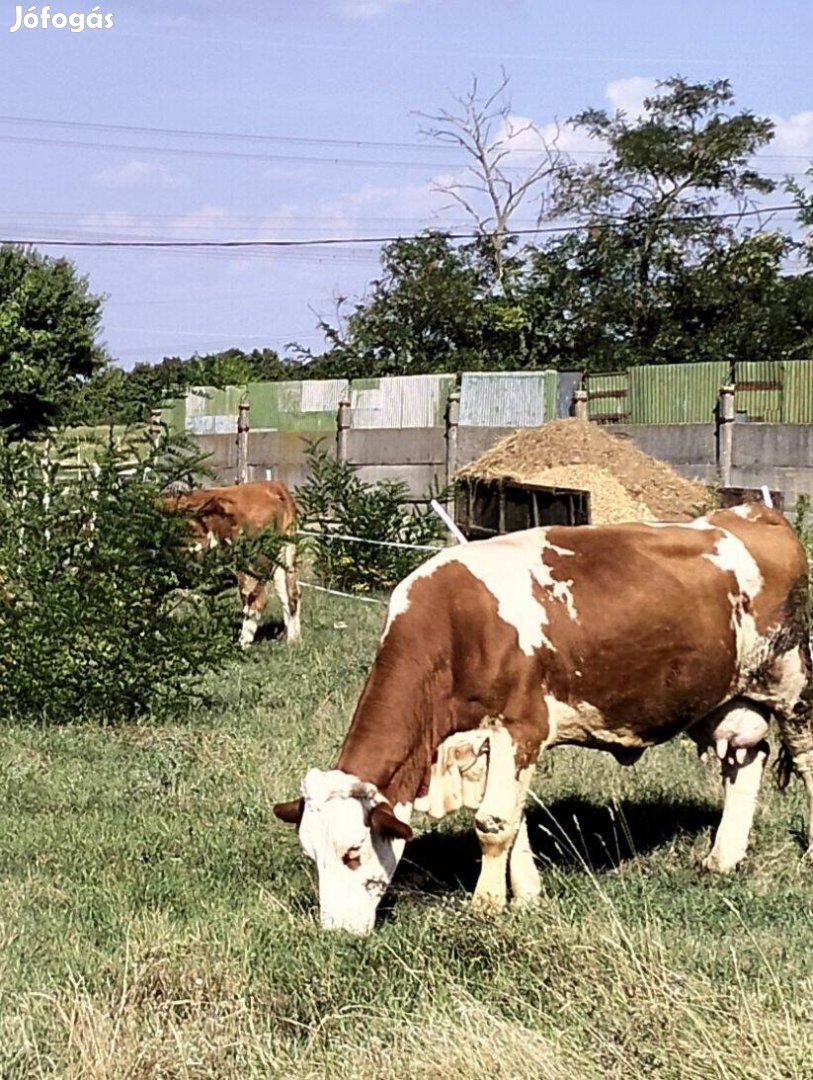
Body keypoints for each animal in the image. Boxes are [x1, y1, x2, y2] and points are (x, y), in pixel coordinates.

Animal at [165, 479, 302, 643]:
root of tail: (272, 485)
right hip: (284, 561)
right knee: (290, 596)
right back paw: (292, 640)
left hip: (250, 568)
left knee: (255, 602)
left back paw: (242, 644)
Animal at [274, 505, 811, 937]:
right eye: (311, 855)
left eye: (353, 852)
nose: (337, 933)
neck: (456, 627)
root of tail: (752, 512)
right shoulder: (487, 742)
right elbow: (513, 821)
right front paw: (528, 896)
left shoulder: (520, 729)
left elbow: (493, 823)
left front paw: (486, 905)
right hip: (725, 698)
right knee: (747, 759)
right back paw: (723, 858)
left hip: (791, 684)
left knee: (805, 762)